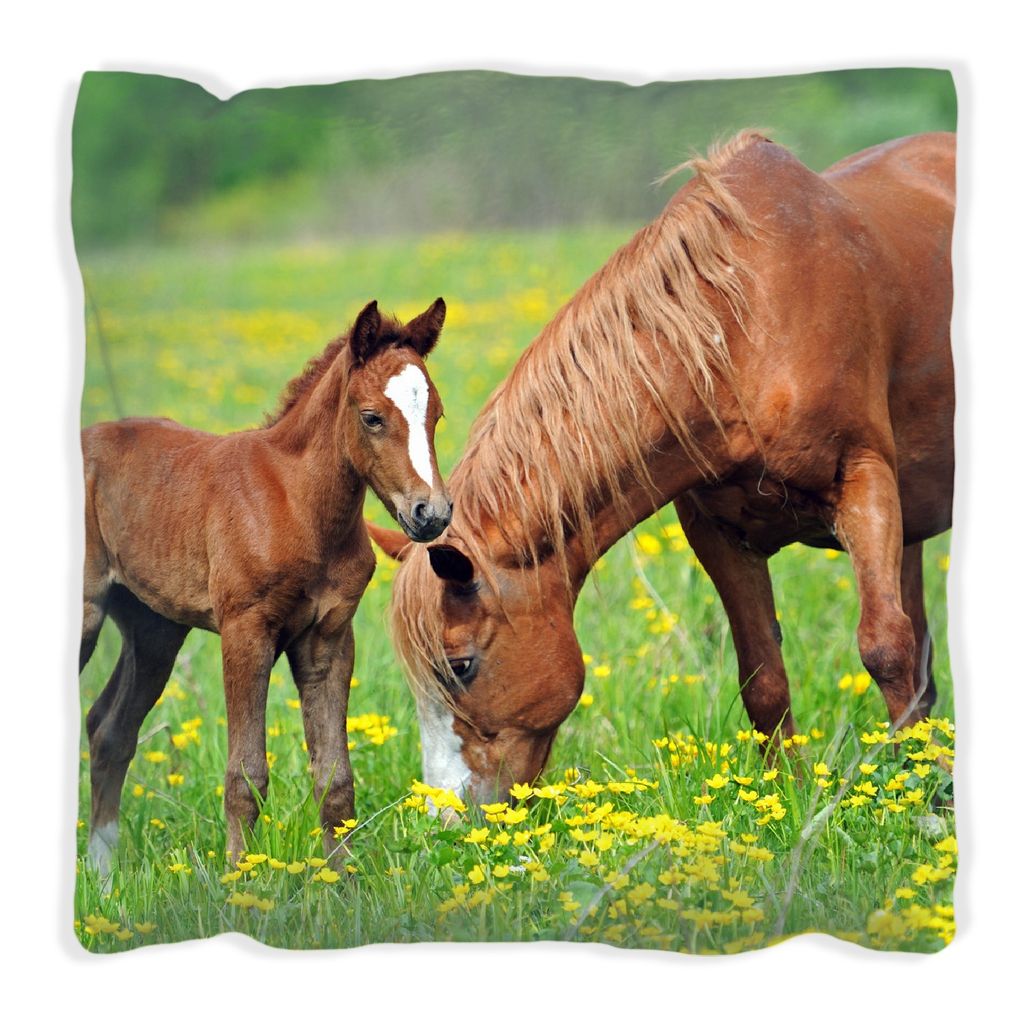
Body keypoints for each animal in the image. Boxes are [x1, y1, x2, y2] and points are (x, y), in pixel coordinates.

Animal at [80, 298, 452, 871]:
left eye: (435, 416)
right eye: (371, 417)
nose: (430, 514)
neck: (296, 504)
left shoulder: (328, 639)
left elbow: (335, 778)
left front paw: (342, 881)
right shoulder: (245, 631)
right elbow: (245, 775)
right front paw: (240, 879)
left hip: (154, 629)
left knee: (110, 730)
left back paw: (102, 876)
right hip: (86, 614)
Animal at [370, 131, 955, 806]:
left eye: (461, 665)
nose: (447, 814)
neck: (746, 328)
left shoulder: (864, 482)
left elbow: (886, 646)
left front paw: (923, 794)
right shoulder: (719, 532)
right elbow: (763, 678)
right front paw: (782, 797)